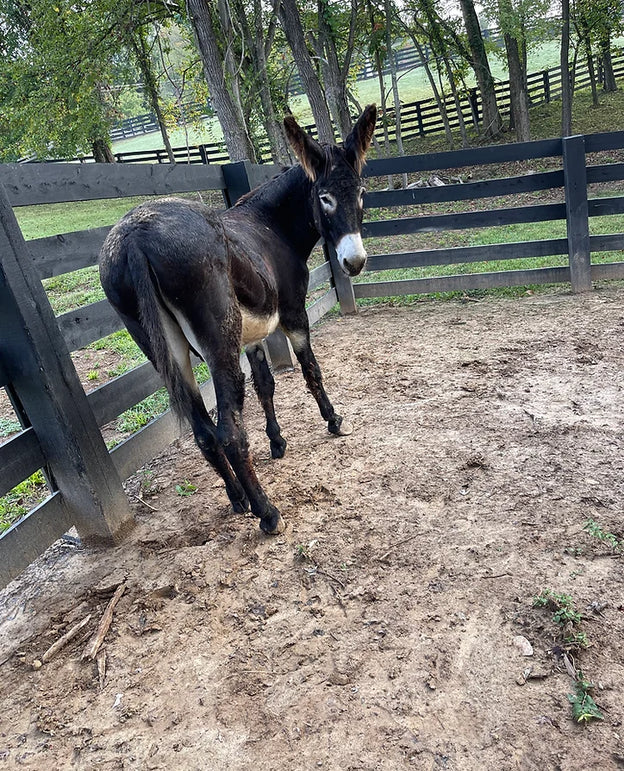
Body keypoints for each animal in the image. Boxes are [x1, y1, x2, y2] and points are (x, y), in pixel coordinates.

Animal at [99, 105, 377, 535]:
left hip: (162, 346)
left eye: (361, 194)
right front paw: (333, 421)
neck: (270, 224)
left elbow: (265, 384)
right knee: (228, 431)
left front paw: (277, 442)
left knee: (203, 432)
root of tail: (135, 237)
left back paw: (238, 498)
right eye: (325, 198)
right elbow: (311, 370)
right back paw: (267, 512)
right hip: (218, 340)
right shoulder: (293, 314)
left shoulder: (252, 335)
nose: (354, 262)